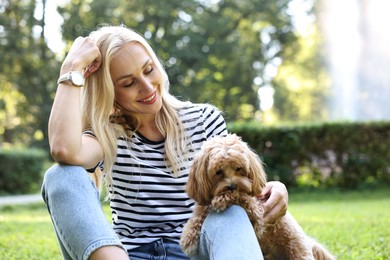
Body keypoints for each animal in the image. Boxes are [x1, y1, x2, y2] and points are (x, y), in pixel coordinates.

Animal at [180, 134, 336, 260]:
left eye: (238, 168)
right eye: (218, 172)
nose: (232, 186)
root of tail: (309, 241)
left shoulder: (257, 210)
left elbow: (242, 197)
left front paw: (222, 199)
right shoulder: (203, 201)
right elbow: (198, 214)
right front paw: (188, 235)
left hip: (298, 251)